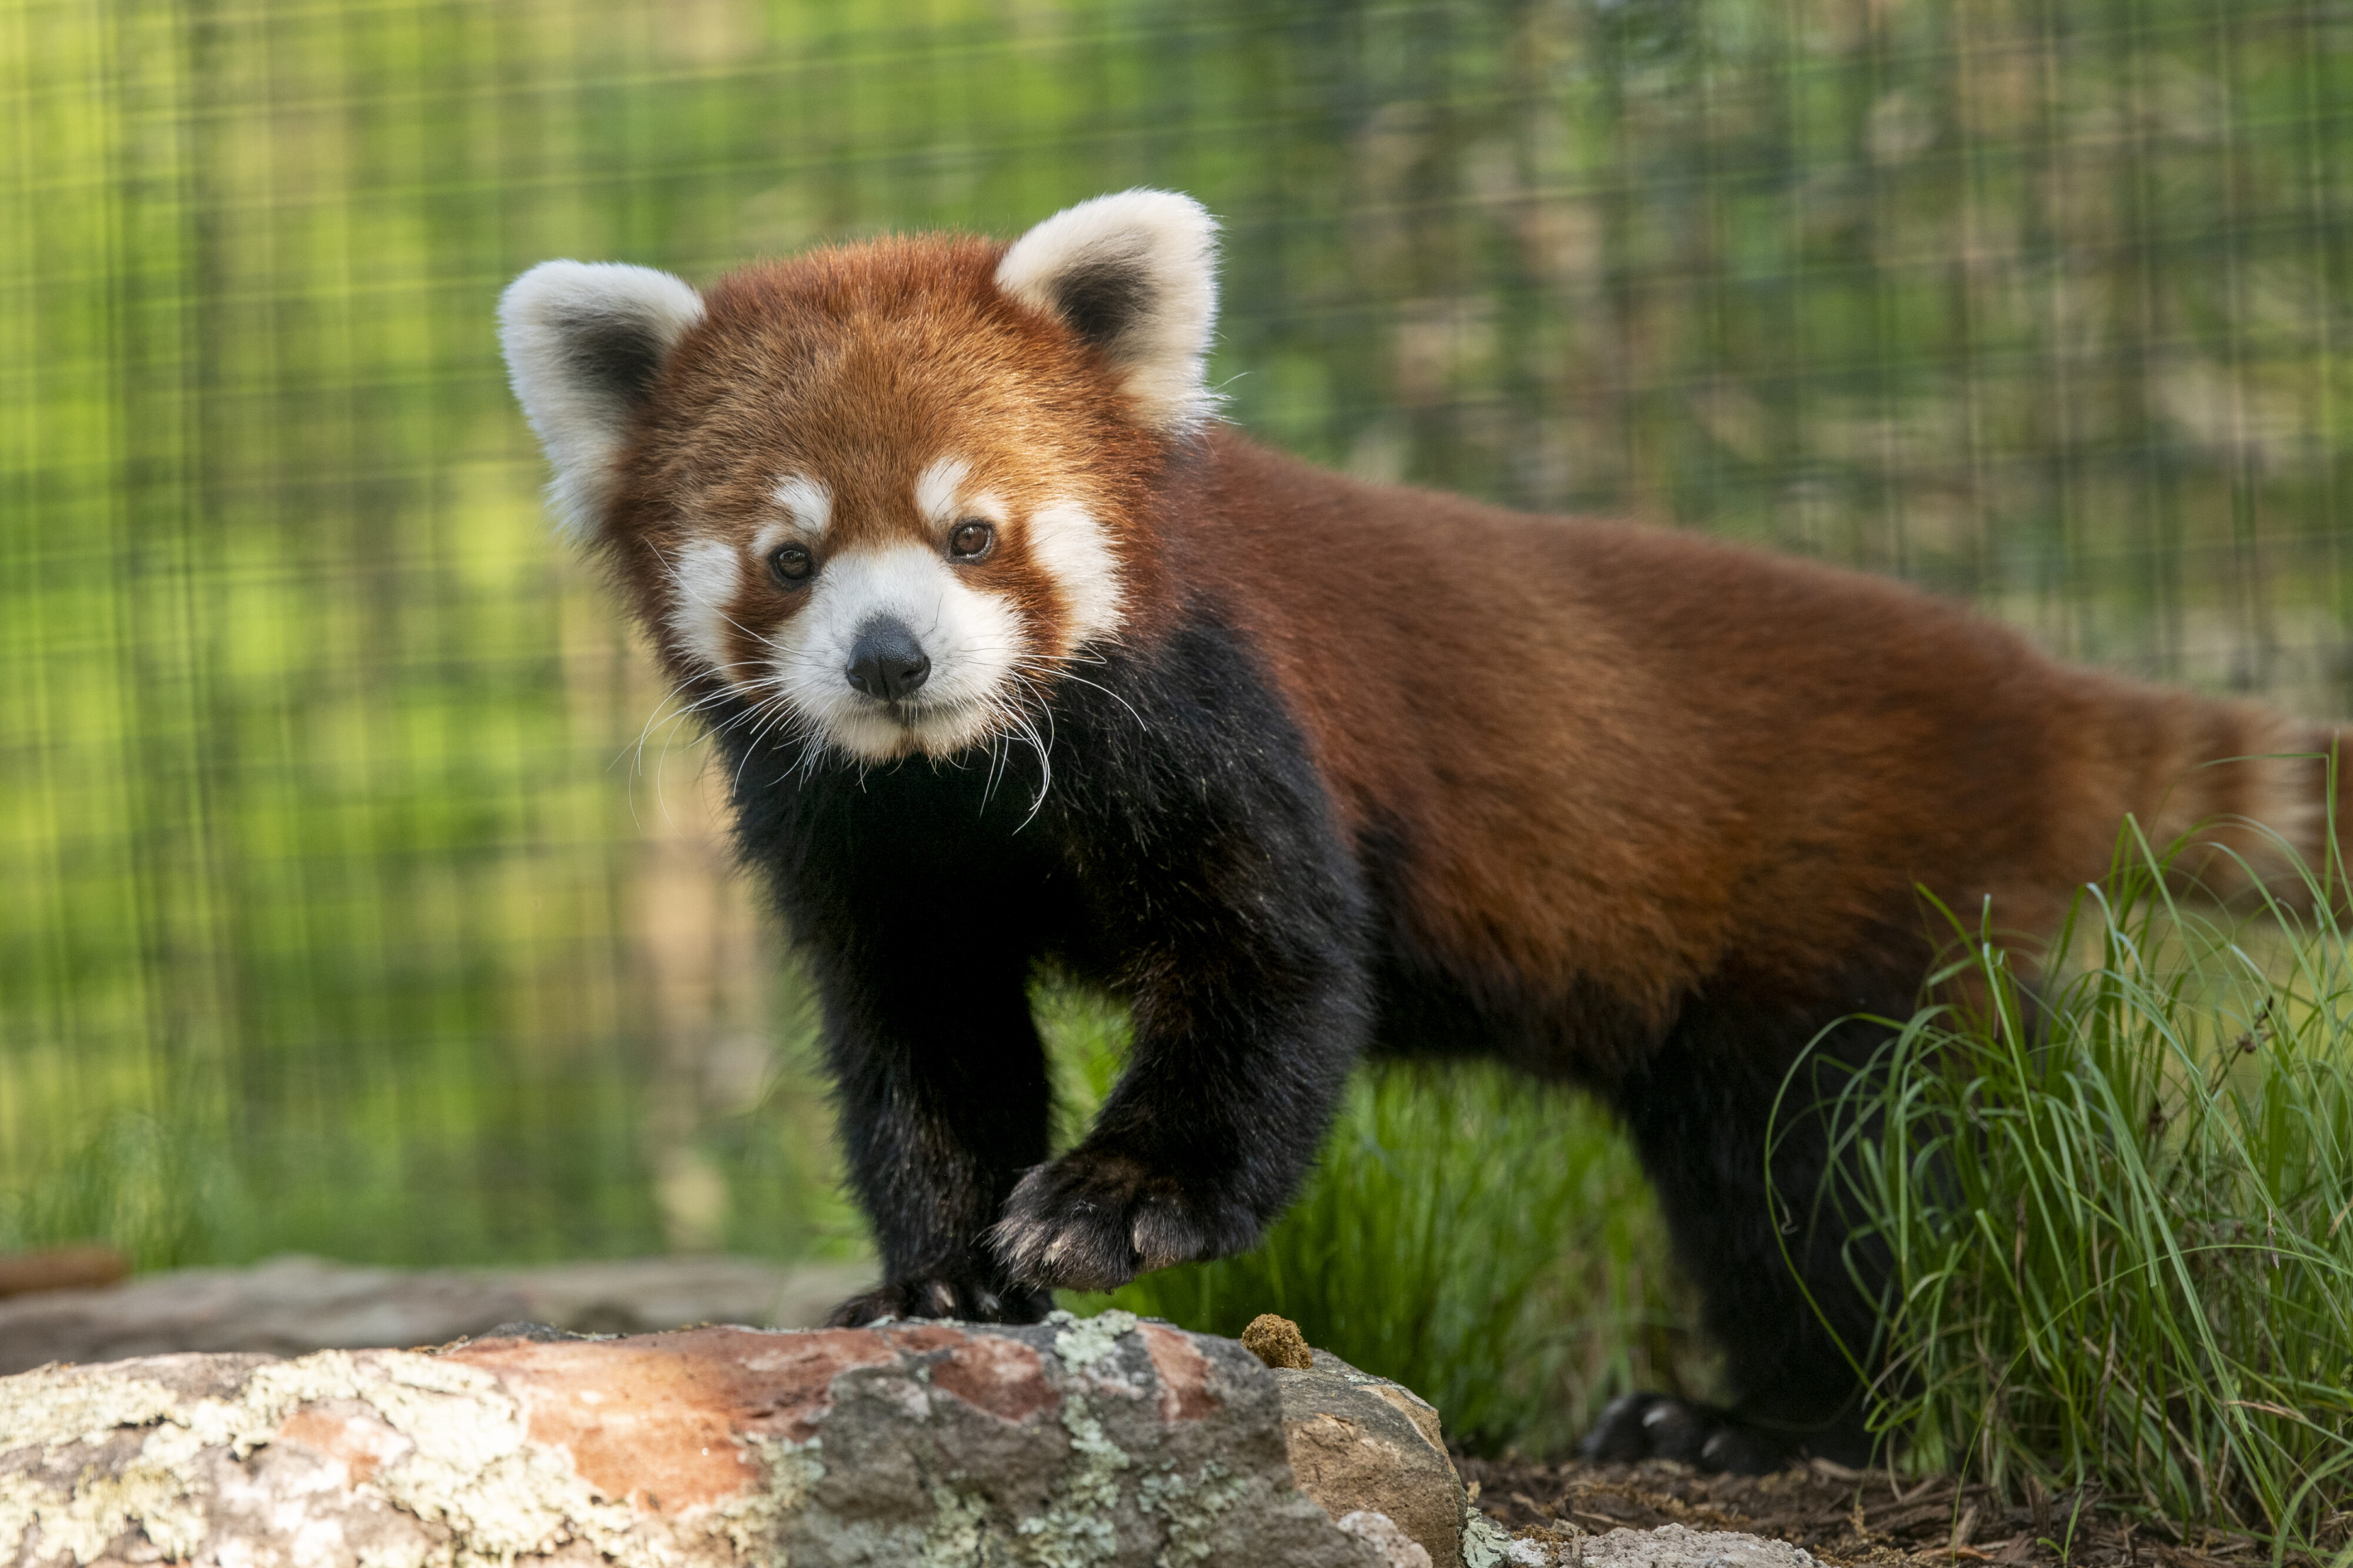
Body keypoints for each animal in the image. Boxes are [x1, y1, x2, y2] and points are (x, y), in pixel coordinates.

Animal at [496, 186, 2334, 1469]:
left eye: (970, 534)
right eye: (790, 556)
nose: (891, 659)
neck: (969, 773)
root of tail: (2012, 683)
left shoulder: (1226, 715)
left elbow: (1274, 972)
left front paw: (1115, 1201)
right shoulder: (868, 843)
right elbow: (922, 1046)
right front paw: (943, 1273)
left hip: (1851, 934)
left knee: (1839, 1186)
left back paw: (1777, 1420)